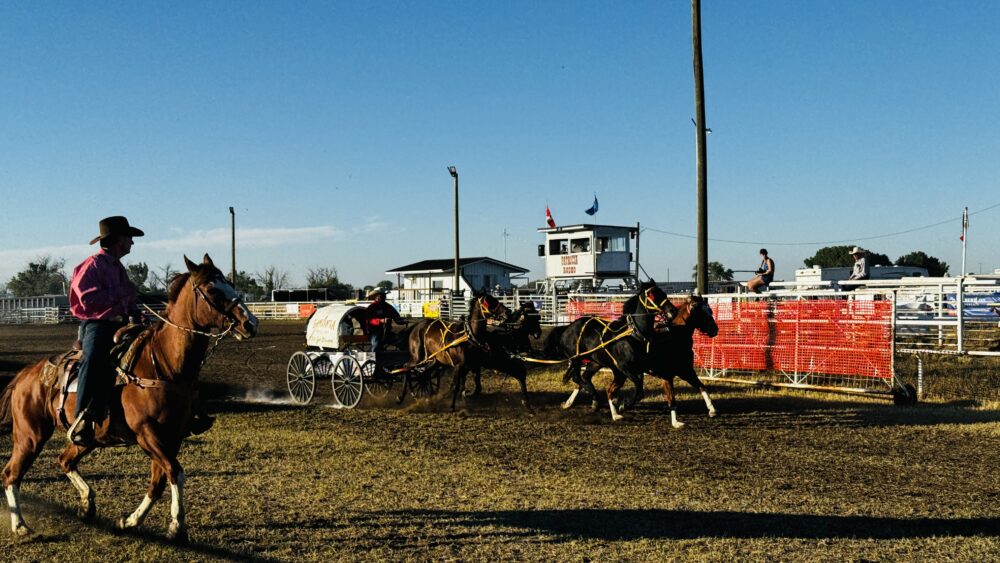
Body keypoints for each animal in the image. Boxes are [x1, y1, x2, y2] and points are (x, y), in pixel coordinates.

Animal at [0, 256, 258, 540]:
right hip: (30, 436)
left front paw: (131, 521)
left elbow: (159, 480)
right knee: (11, 474)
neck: (162, 365)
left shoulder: (172, 437)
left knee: (64, 461)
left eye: (229, 284)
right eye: (212, 290)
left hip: (87, 438)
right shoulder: (147, 434)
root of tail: (24, 375)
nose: (250, 323)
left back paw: (87, 504)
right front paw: (177, 525)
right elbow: (175, 472)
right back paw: (20, 526)